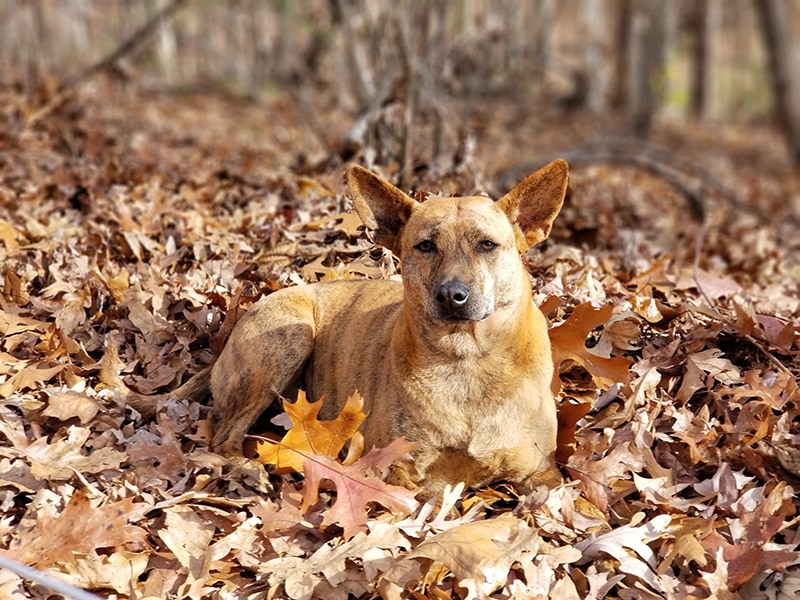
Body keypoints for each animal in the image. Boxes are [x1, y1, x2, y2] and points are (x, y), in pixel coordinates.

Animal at [106, 159, 568, 492]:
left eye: (488, 245)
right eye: (424, 246)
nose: (452, 295)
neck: (468, 362)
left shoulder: (543, 472)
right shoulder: (395, 468)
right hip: (288, 338)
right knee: (224, 437)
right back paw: (249, 470)